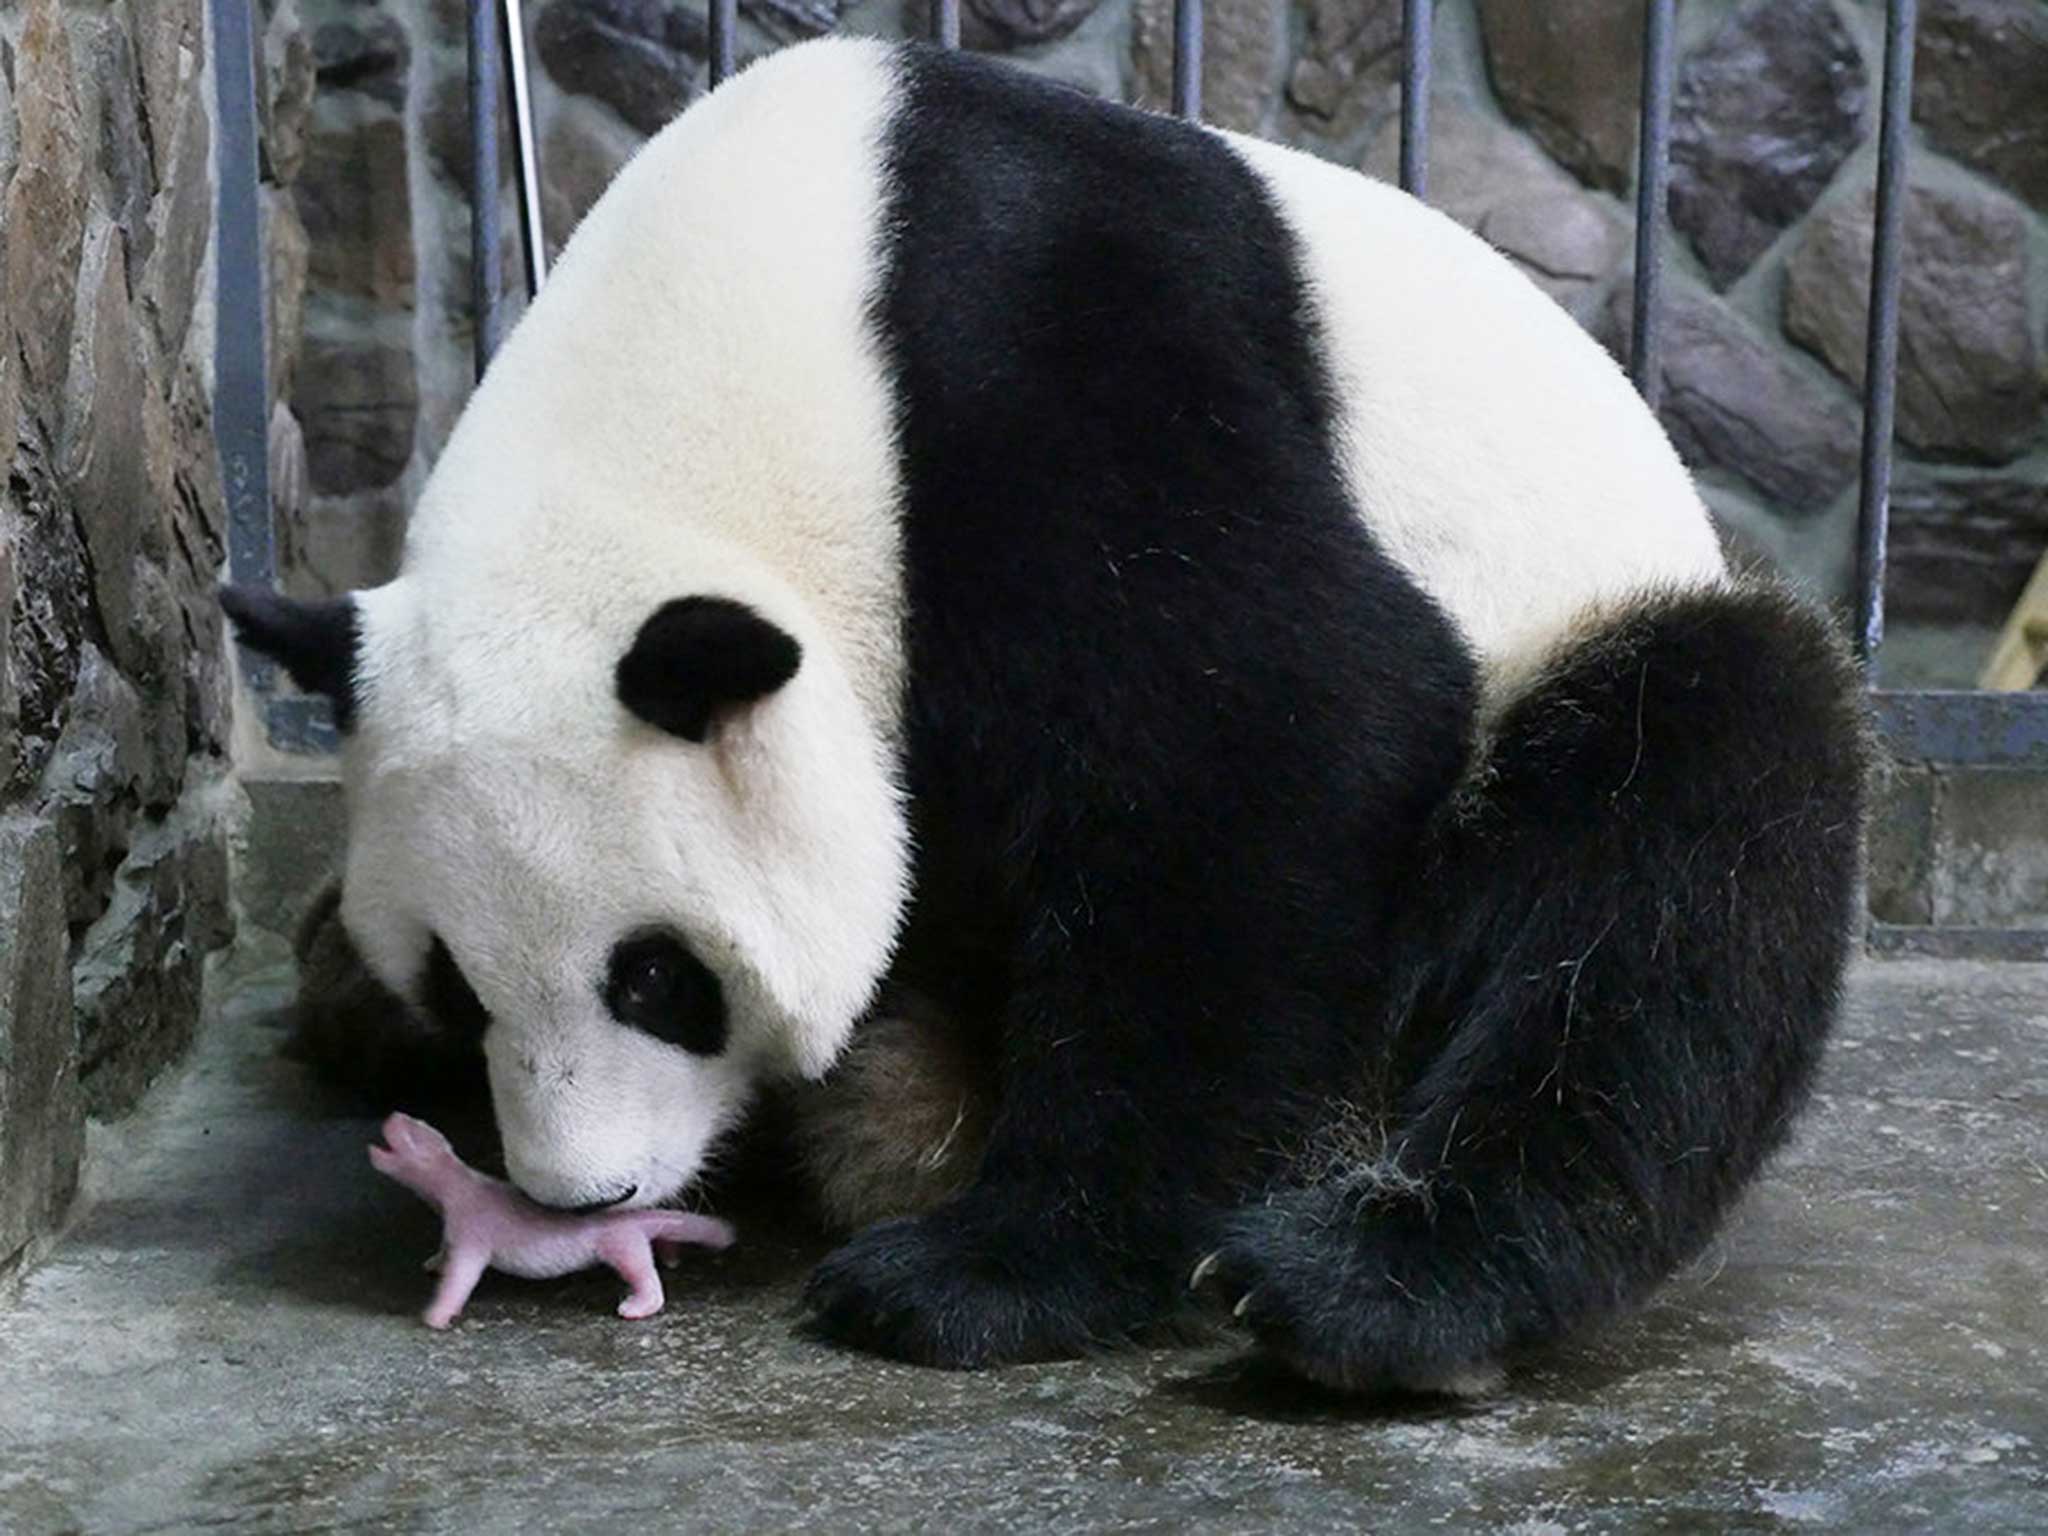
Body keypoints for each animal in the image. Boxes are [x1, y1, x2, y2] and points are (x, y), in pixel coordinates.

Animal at [228, 36, 1875, 1392]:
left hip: (1587, 648)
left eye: (656, 979)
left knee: (1685, 838)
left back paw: (1371, 1291)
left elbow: (1277, 739)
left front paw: (986, 1277)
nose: (585, 1198)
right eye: (459, 986)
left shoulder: (1048, 365)